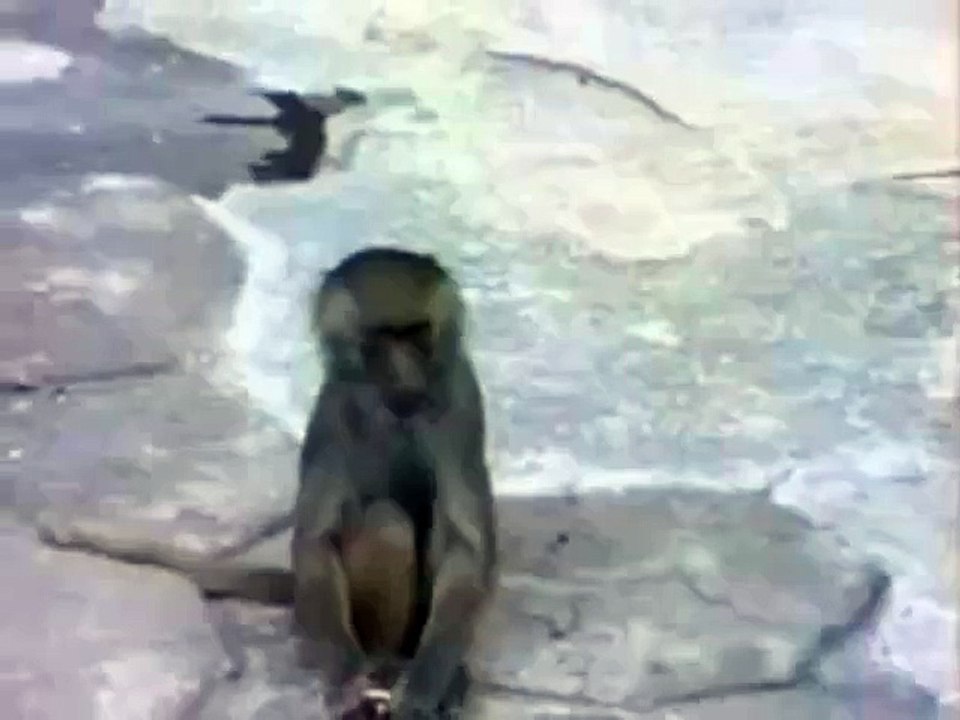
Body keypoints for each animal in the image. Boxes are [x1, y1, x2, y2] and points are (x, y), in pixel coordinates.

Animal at [36, 247, 497, 720]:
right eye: (380, 339)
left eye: (417, 334)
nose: (409, 381)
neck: (393, 408)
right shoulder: (333, 409)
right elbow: (316, 539)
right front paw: (349, 677)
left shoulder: (460, 399)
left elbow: (466, 544)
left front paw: (424, 687)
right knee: (387, 524)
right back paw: (381, 661)